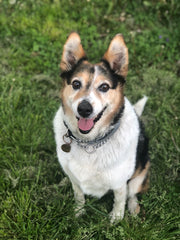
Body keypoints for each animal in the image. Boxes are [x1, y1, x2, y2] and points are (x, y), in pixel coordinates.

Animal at [53, 32, 150, 223]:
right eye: (76, 84)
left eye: (104, 86)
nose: (84, 109)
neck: (89, 143)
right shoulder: (77, 182)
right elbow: (79, 195)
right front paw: (78, 212)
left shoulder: (119, 182)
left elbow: (120, 199)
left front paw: (116, 218)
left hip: (141, 170)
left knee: (132, 192)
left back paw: (133, 207)